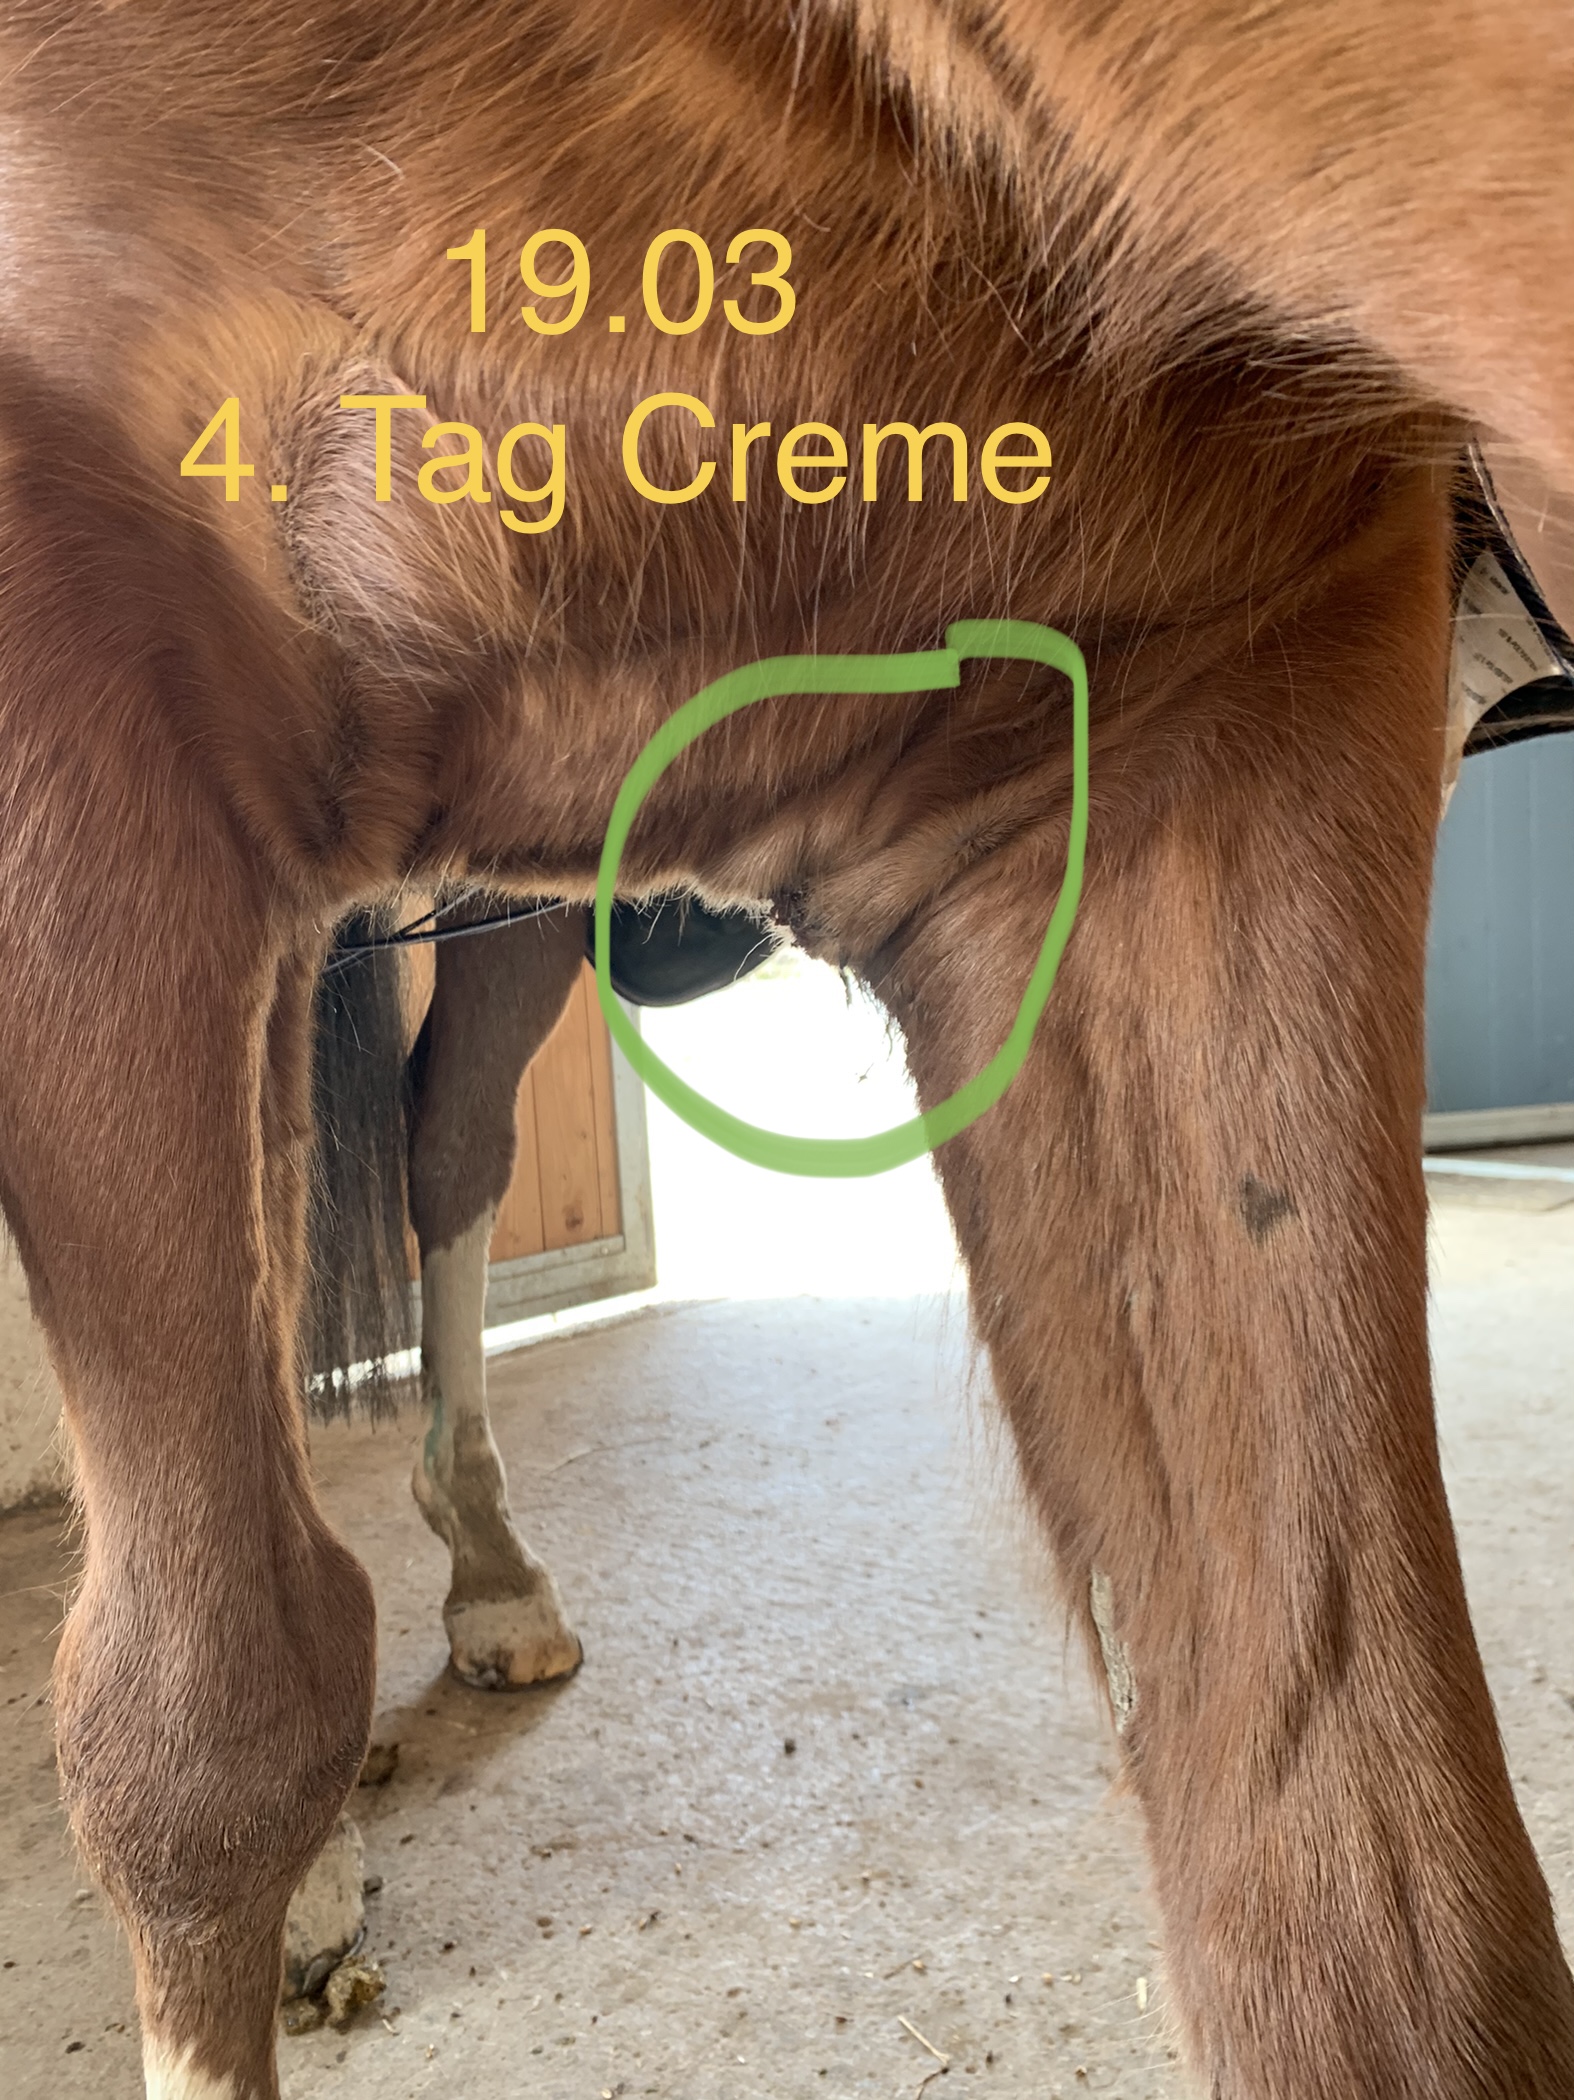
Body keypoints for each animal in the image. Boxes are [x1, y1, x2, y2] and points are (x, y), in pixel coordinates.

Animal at [3, 3, 1574, 2096]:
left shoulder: (1194, 718)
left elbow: (1355, 1896)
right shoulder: (82, 706)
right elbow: (195, 1734)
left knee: (440, 1146)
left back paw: (488, 1572)